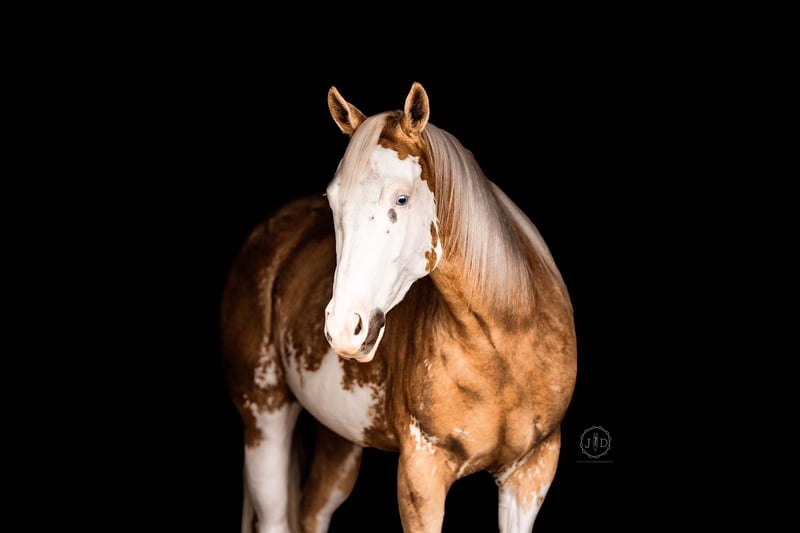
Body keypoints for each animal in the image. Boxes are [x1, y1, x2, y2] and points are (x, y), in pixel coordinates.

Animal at [221, 82, 578, 532]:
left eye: (403, 199)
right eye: (333, 201)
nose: (344, 329)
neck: (503, 345)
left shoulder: (531, 471)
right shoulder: (421, 476)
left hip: (339, 441)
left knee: (312, 511)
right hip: (264, 417)